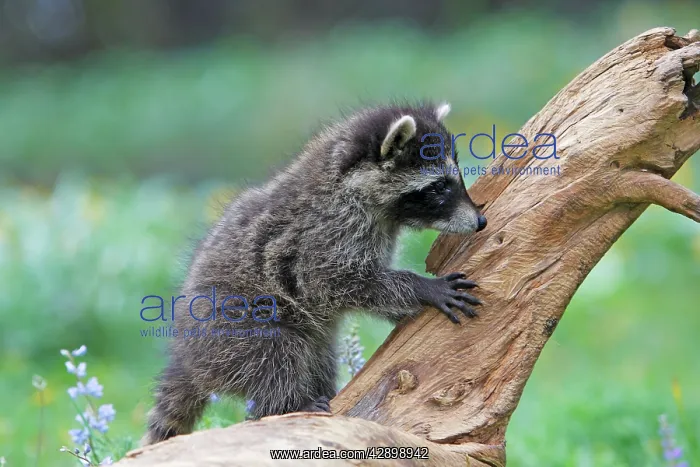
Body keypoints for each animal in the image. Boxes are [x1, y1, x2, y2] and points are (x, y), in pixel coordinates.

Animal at [143, 101, 487, 445]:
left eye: (455, 178)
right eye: (439, 186)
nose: (481, 221)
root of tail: (187, 359)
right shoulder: (325, 233)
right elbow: (339, 282)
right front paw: (421, 287)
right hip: (234, 328)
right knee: (275, 356)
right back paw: (288, 403)